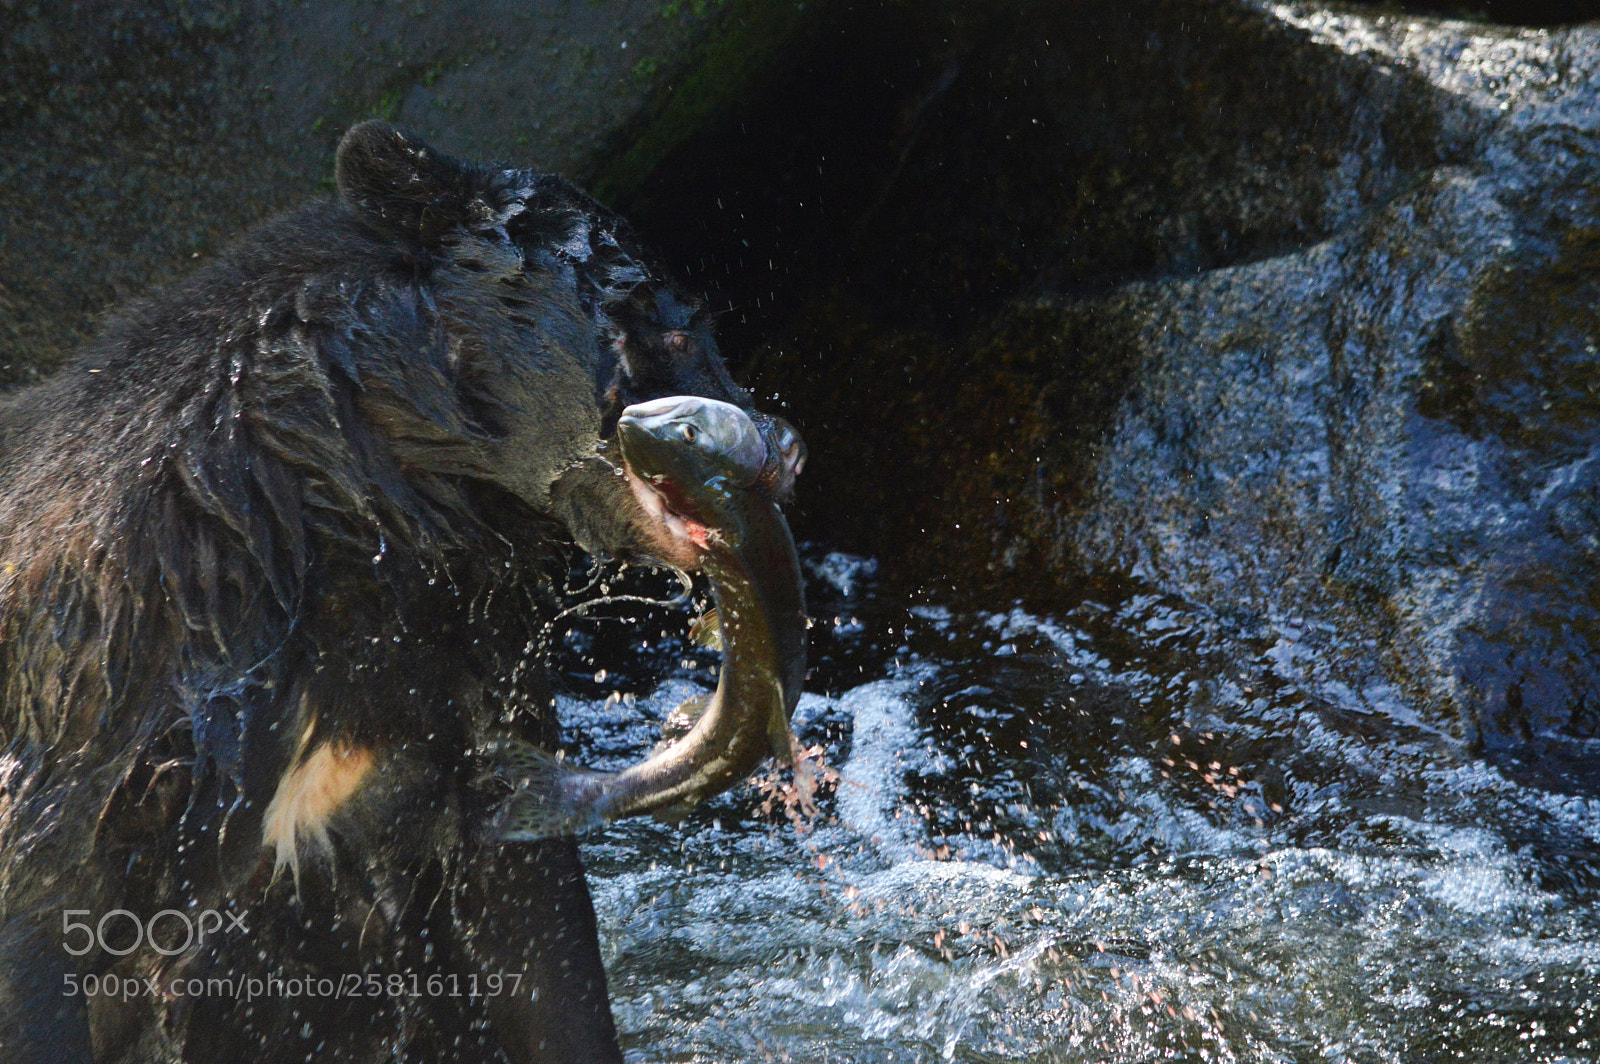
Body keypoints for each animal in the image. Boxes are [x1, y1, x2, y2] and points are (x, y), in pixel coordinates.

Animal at [0, 120, 798, 1064]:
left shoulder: (454, 693)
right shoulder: (98, 705)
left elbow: (534, 931)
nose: (782, 447)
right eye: (661, 329)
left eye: (692, 323)